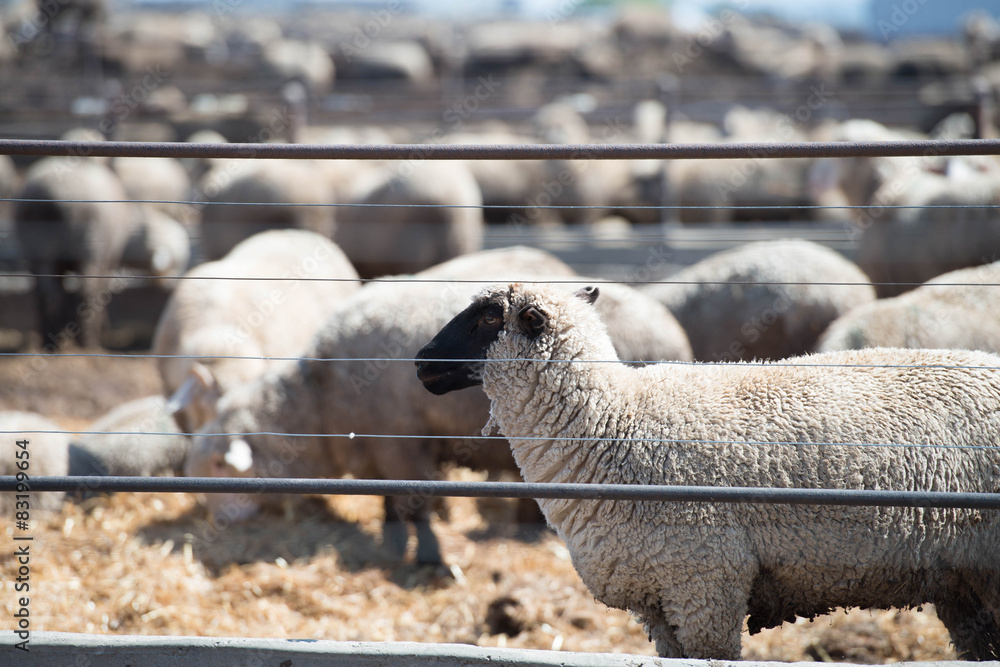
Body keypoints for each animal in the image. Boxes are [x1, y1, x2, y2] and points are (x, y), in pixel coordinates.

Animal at [186, 246, 693, 564]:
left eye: (218, 465)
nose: (214, 522)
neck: (320, 398)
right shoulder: (377, 446)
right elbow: (388, 500)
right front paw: (392, 545)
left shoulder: (400, 440)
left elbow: (416, 502)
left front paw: (427, 556)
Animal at [415, 282, 1000, 660]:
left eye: (488, 318)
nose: (421, 362)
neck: (615, 425)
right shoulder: (658, 600)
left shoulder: (705, 583)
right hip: (963, 581)